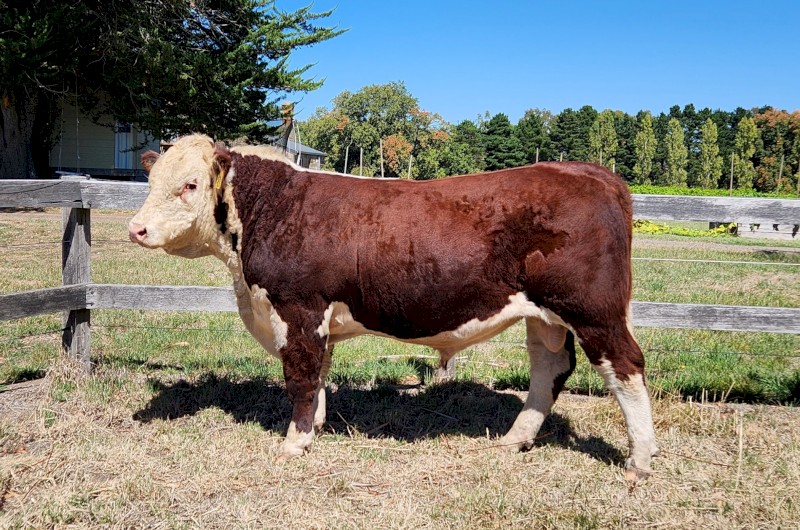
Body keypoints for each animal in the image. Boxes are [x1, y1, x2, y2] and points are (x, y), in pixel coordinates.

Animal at [128, 134, 658, 480]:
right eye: (151, 180)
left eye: (190, 184)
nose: (136, 229)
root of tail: (590, 171)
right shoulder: (317, 318)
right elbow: (319, 374)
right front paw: (316, 426)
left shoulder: (298, 308)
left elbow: (299, 375)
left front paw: (294, 443)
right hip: (543, 314)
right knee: (549, 368)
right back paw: (516, 438)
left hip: (593, 309)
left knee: (626, 366)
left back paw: (640, 460)